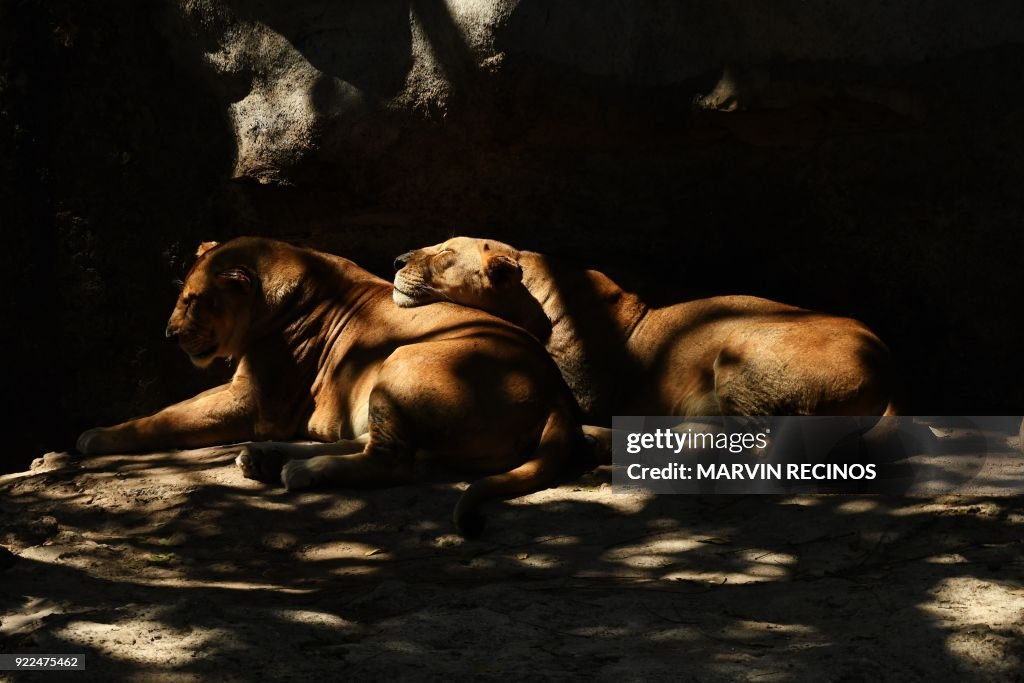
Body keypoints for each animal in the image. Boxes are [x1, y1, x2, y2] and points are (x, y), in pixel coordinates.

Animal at [76, 237, 589, 536]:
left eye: (193, 301)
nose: (169, 333)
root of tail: (557, 394)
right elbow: (177, 409)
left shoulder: (253, 400)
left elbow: (167, 416)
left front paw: (97, 435)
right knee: (389, 450)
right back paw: (267, 459)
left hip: (402, 359)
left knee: (395, 462)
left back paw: (300, 470)